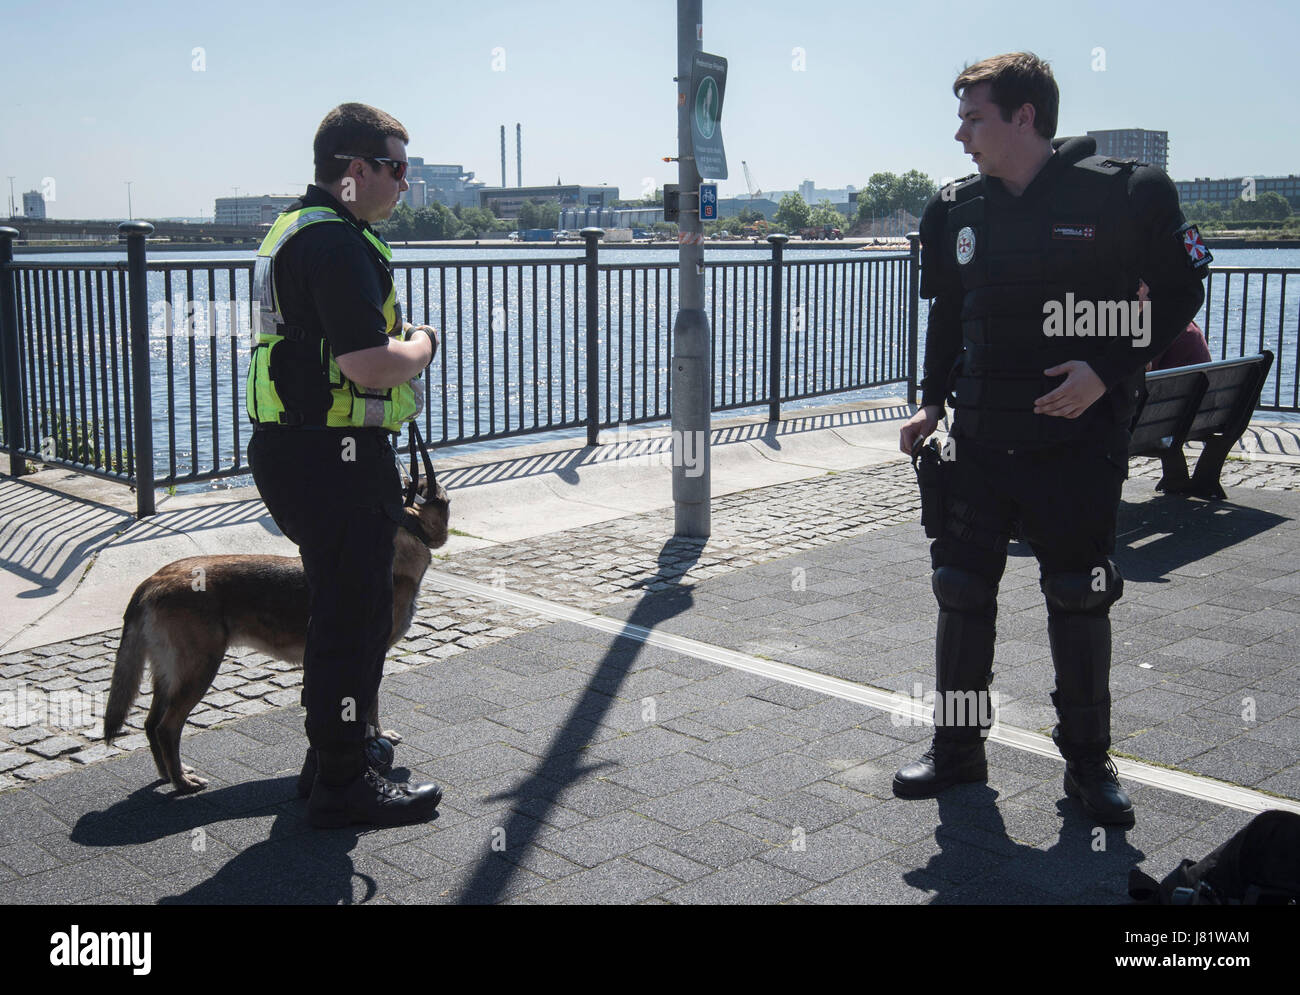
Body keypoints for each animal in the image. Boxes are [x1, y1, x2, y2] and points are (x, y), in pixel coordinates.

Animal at [101, 478, 449, 796]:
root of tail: (152, 581)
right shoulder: (369, 655)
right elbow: (369, 706)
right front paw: (373, 739)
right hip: (199, 669)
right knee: (166, 728)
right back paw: (182, 782)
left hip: (168, 672)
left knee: (150, 724)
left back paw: (168, 775)